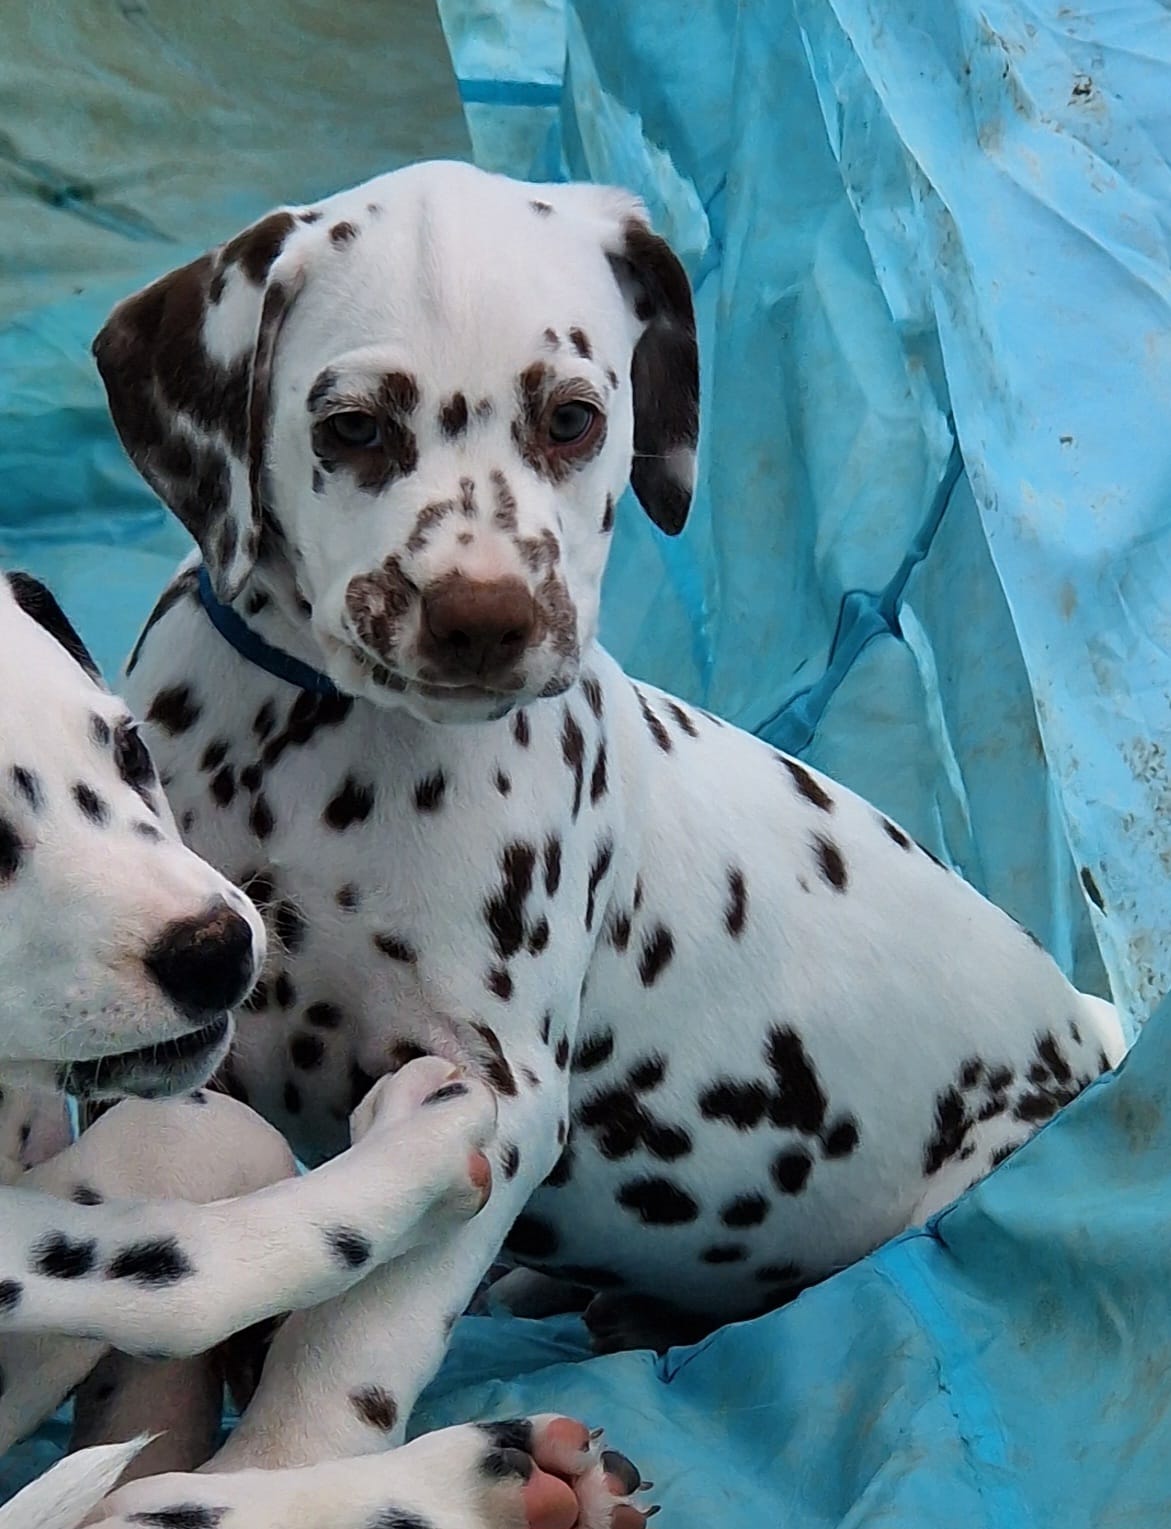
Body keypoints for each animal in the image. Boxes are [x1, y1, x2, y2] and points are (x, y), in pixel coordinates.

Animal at [86, 159, 1126, 1478]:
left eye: (573, 417)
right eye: (353, 427)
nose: (482, 613)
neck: (311, 740)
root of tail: (1092, 1021)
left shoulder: (494, 1094)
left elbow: (356, 1331)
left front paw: (281, 1469)